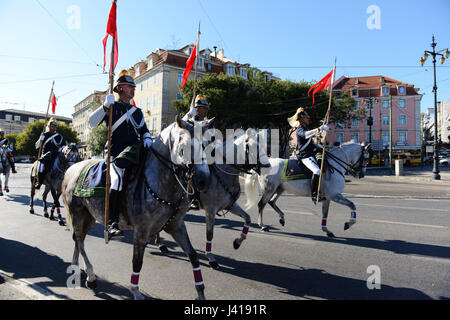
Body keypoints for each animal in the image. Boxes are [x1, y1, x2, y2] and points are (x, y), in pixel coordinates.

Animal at [60, 117, 212, 300]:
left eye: (208, 144)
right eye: (186, 146)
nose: (204, 180)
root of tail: (71, 168)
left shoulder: (176, 226)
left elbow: (193, 256)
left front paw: (201, 292)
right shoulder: (141, 230)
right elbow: (137, 262)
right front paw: (135, 291)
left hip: (89, 217)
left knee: (79, 239)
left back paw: (77, 269)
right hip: (77, 213)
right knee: (78, 239)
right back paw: (90, 274)